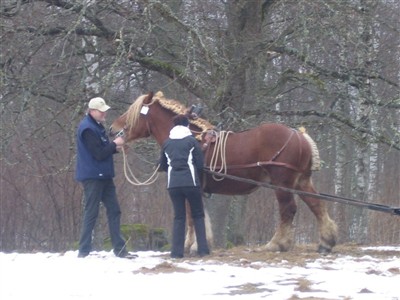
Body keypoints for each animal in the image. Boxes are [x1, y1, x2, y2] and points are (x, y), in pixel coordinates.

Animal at [110, 91, 338, 253]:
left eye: (135, 112)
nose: (112, 128)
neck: (185, 136)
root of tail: (299, 136)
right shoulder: (199, 190)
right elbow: (199, 215)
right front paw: (198, 244)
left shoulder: (189, 186)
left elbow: (192, 216)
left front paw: (192, 246)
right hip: (301, 181)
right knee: (317, 205)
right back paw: (326, 242)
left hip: (282, 184)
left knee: (288, 210)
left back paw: (277, 244)